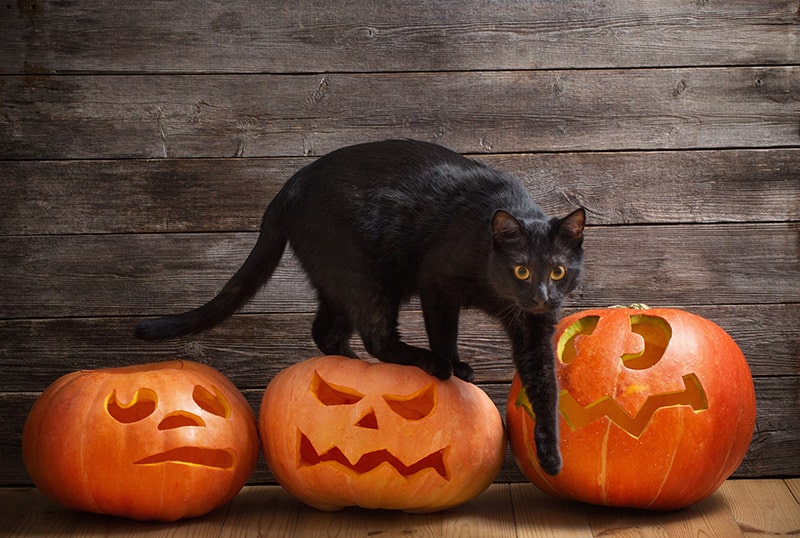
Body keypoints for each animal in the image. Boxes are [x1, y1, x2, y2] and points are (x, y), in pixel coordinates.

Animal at [136, 139, 580, 474]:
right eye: (522, 270)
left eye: (557, 271)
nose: (542, 296)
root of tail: (290, 187)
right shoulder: (436, 284)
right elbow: (445, 333)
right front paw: (453, 366)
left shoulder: (534, 329)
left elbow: (544, 384)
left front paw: (550, 455)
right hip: (369, 276)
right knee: (377, 337)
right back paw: (420, 362)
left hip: (339, 281)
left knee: (325, 329)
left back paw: (349, 364)